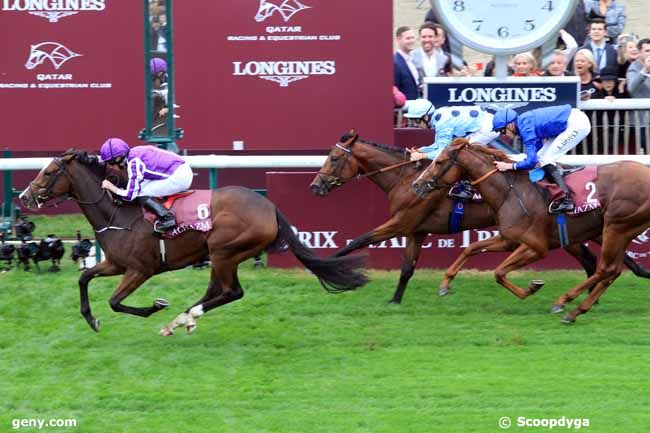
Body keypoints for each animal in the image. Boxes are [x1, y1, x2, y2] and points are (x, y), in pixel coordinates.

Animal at [20, 150, 368, 336]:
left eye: (49, 172)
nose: (25, 196)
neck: (118, 211)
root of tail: (268, 206)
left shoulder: (140, 270)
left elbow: (115, 301)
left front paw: (155, 306)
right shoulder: (115, 263)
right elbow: (84, 278)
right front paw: (91, 319)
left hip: (225, 250)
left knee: (231, 291)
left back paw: (184, 316)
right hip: (222, 255)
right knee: (219, 290)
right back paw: (181, 320)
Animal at [308, 130, 612, 302]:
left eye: (334, 158)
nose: (315, 186)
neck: (404, 178)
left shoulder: (401, 223)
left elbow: (357, 241)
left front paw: (324, 268)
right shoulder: (416, 230)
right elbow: (407, 269)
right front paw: (394, 300)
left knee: (590, 259)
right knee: (590, 259)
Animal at [410, 137, 648, 322]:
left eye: (440, 162)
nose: (416, 185)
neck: (509, 191)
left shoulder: (536, 247)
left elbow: (499, 272)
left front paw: (531, 288)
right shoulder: (509, 239)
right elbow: (472, 248)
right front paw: (445, 284)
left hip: (616, 227)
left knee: (606, 269)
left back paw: (564, 302)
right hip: (622, 230)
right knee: (612, 271)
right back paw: (576, 311)